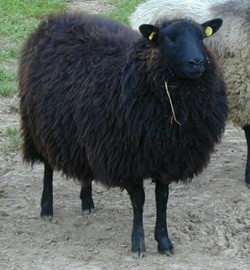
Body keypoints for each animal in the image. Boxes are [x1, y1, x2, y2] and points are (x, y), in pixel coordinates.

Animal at [18, 12, 228, 258]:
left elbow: (162, 198)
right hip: (42, 125)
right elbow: (139, 200)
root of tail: (52, 20)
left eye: (201, 38)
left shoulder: (166, 156)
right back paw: (47, 207)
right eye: (168, 39)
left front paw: (164, 241)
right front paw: (138, 244)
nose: (196, 62)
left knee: (84, 167)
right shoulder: (127, 158)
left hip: (81, 132)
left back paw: (87, 202)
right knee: (48, 167)